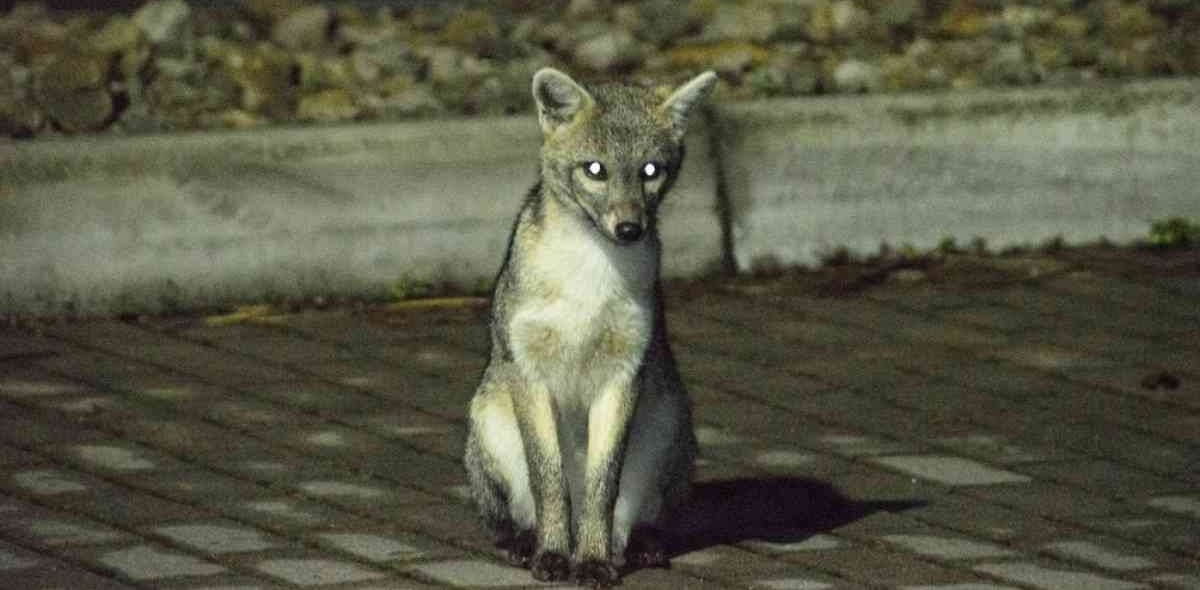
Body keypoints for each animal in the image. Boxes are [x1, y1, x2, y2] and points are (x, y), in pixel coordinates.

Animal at [463, 68, 715, 585]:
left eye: (651, 171)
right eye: (595, 170)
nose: (629, 229)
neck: (588, 283)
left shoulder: (622, 377)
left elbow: (603, 487)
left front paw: (593, 559)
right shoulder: (530, 374)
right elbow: (549, 482)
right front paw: (553, 554)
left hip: (668, 427)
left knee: (640, 519)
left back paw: (638, 546)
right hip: (490, 420)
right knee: (509, 518)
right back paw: (524, 542)